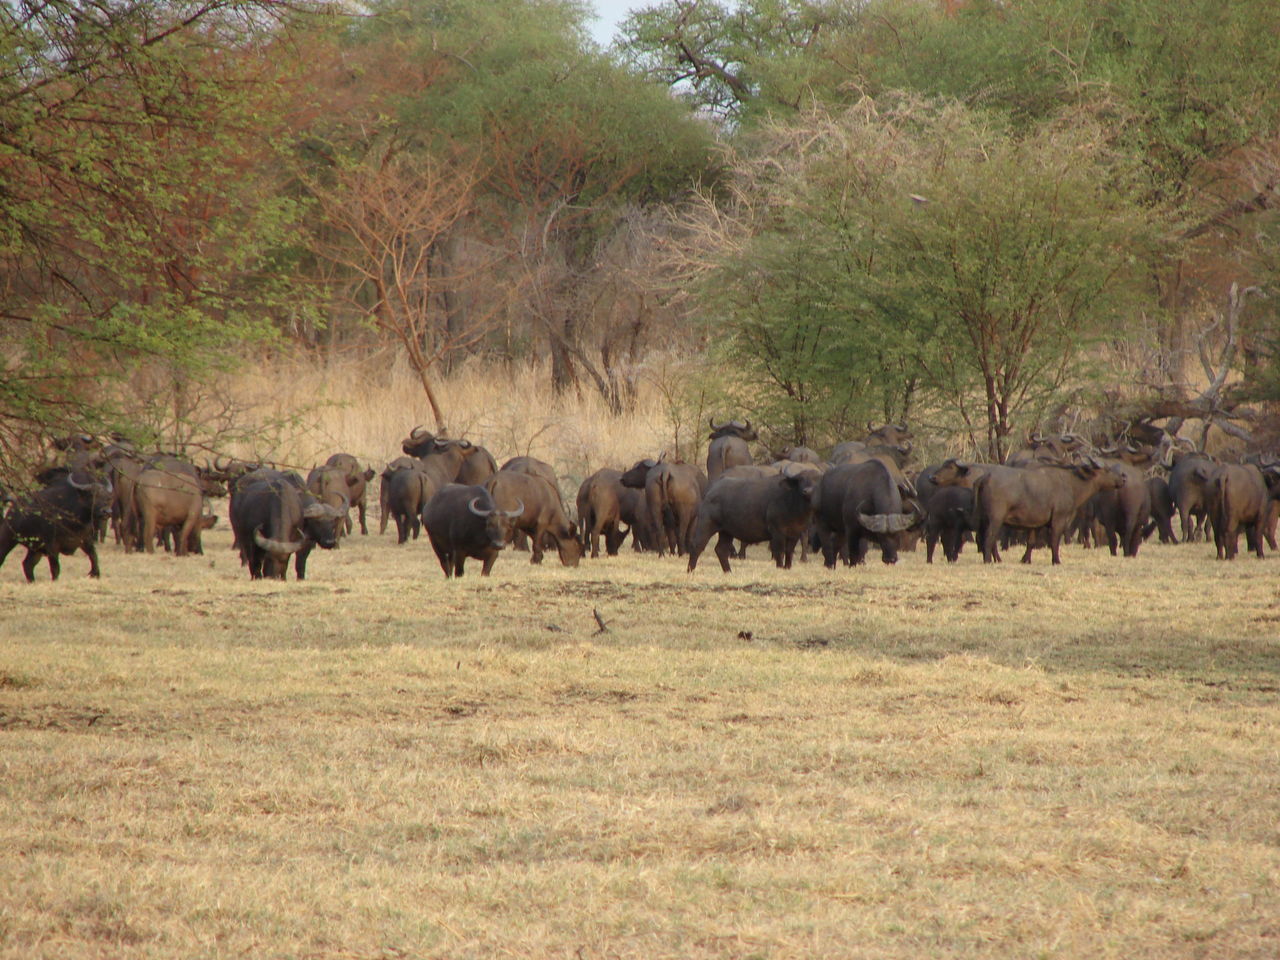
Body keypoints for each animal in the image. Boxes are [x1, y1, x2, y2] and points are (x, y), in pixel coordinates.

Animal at [686, 468, 814, 576]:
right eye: (801, 480)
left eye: (815, 481)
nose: (807, 491)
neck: (791, 501)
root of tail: (711, 491)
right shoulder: (777, 533)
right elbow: (780, 552)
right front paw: (780, 569)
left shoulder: (795, 534)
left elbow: (789, 552)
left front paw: (787, 568)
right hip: (707, 524)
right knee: (697, 545)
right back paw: (690, 570)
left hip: (726, 531)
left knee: (721, 549)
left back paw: (728, 572)